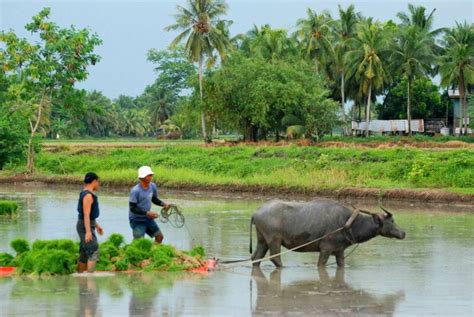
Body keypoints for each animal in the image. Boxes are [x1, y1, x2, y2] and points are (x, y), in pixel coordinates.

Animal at [250, 199, 406, 266]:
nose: (403, 233)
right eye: (391, 221)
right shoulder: (326, 249)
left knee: (256, 257)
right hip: (274, 239)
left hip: (262, 240)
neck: (348, 223)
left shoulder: (340, 251)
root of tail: (256, 212)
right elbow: (321, 264)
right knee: (275, 258)